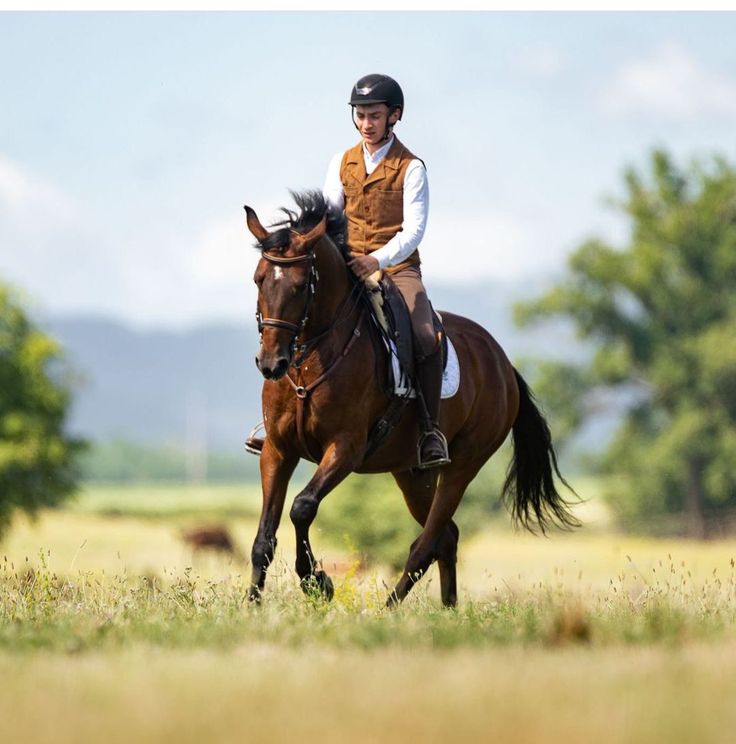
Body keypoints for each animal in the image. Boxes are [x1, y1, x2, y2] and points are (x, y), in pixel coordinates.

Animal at [243, 190, 577, 608]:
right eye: (258, 279)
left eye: (302, 285)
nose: (271, 363)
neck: (310, 363)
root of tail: (502, 362)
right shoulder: (278, 449)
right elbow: (264, 538)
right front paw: (252, 604)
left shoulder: (345, 448)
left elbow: (302, 508)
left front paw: (316, 581)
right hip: (412, 473)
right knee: (446, 538)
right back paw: (447, 610)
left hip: (462, 465)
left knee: (427, 542)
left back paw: (389, 609)